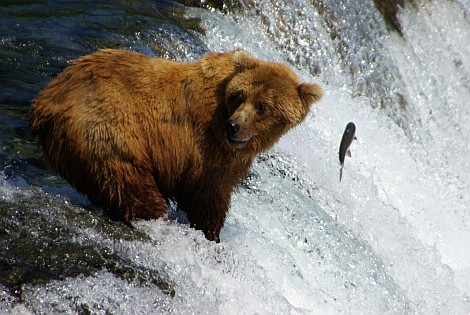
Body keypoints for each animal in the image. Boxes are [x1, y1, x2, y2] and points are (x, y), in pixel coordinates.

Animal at [28, 48, 324, 242]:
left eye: (262, 107)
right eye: (240, 96)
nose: (234, 126)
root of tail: (46, 100)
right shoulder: (208, 148)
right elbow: (208, 198)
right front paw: (211, 234)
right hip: (106, 130)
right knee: (131, 183)